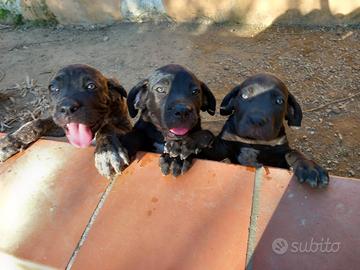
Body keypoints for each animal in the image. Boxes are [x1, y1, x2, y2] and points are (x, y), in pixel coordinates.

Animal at [0, 63, 132, 177]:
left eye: (91, 86)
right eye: (53, 88)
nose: (67, 108)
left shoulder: (126, 126)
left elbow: (106, 127)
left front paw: (107, 151)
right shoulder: (59, 124)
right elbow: (37, 123)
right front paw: (9, 142)